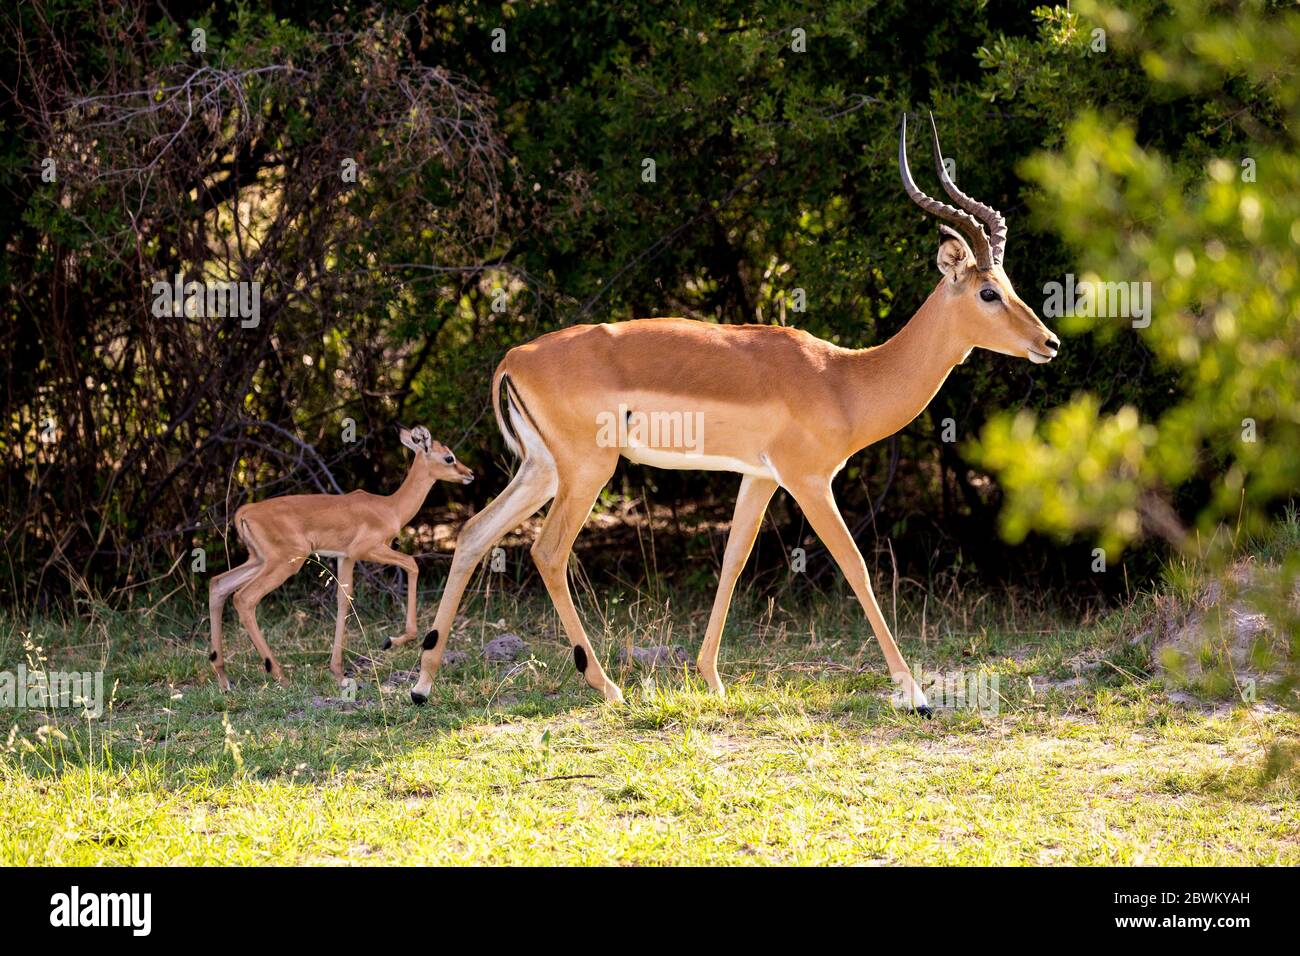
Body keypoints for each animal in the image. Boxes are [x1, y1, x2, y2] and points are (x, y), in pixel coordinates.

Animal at [210, 426, 475, 686]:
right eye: (449, 457)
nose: (470, 473)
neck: (391, 508)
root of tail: (245, 512)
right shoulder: (367, 550)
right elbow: (412, 563)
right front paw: (392, 640)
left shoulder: (345, 557)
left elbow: (343, 599)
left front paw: (338, 672)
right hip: (284, 563)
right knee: (243, 598)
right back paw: (279, 674)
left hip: (258, 560)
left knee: (218, 584)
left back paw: (223, 678)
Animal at [405, 111, 1055, 712]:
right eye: (987, 291)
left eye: (1009, 284)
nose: (1048, 343)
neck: (844, 379)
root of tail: (514, 357)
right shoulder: (808, 481)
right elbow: (856, 566)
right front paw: (914, 693)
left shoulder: (759, 477)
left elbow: (733, 560)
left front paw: (711, 679)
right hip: (588, 471)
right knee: (547, 551)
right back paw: (607, 686)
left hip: (542, 470)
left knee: (472, 533)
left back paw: (422, 685)